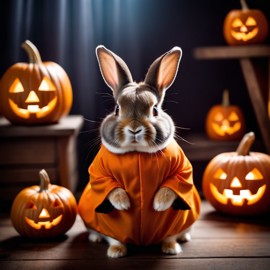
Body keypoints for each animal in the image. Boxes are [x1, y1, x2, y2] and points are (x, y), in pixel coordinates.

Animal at [78, 44, 200, 258]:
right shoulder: (99, 173)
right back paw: (113, 249)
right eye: (117, 109)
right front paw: (123, 203)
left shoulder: (182, 170)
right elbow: (108, 188)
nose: (134, 129)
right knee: (112, 236)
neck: (137, 153)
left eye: (155, 110)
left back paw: (173, 246)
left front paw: (159, 204)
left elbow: (173, 186)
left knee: (171, 234)